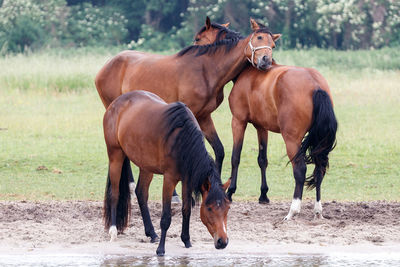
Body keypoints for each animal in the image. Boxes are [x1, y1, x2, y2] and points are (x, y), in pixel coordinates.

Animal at [95, 16, 274, 177]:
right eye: (258, 38)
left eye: (273, 44)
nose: (266, 61)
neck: (207, 69)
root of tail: (106, 66)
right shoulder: (191, 115)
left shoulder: (204, 117)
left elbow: (219, 150)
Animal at [103, 91, 231, 256]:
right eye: (209, 208)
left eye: (227, 208)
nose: (222, 242)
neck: (183, 140)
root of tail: (116, 103)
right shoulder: (169, 179)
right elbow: (166, 217)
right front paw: (161, 249)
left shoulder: (187, 180)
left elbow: (186, 210)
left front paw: (186, 241)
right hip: (115, 156)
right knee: (114, 193)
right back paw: (113, 231)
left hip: (146, 166)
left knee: (141, 193)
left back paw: (152, 234)